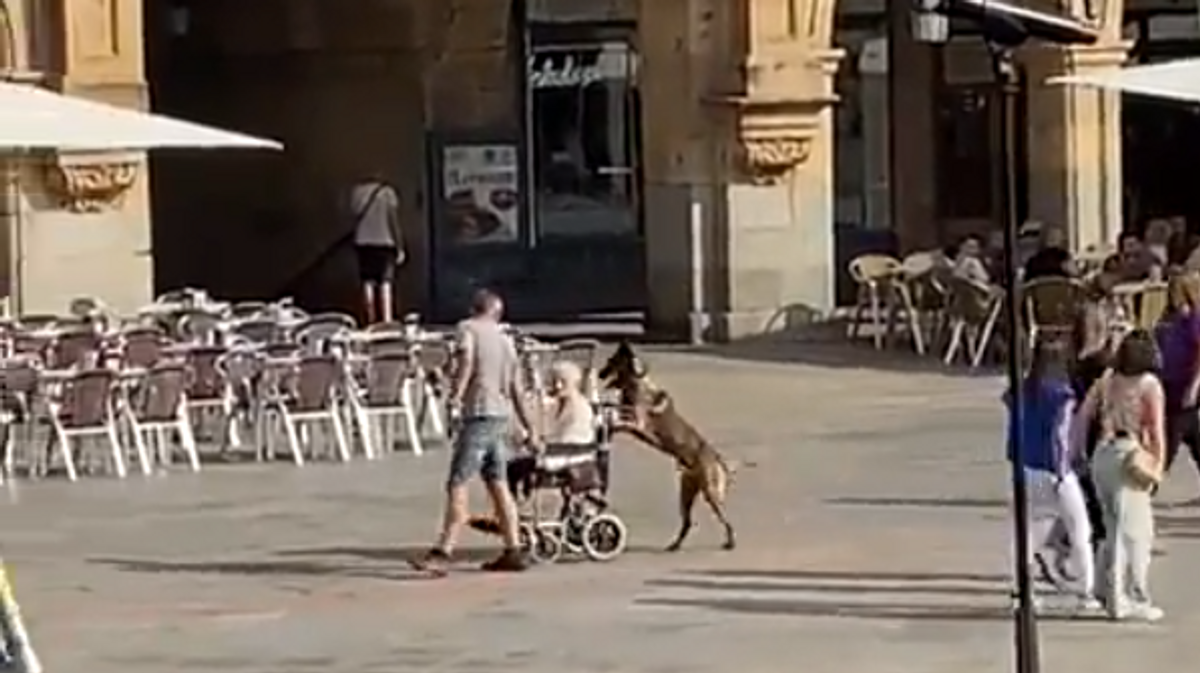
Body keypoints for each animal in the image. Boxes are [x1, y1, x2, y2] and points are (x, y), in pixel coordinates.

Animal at [597, 340, 744, 551]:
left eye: (611, 361)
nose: (600, 374)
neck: (637, 383)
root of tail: (716, 457)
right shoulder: (629, 414)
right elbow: (616, 411)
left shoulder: (638, 422)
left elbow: (623, 421)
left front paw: (610, 423)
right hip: (686, 494)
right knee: (687, 522)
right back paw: (675, 545)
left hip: (711, 493)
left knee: (725, 520)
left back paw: (730, 541)